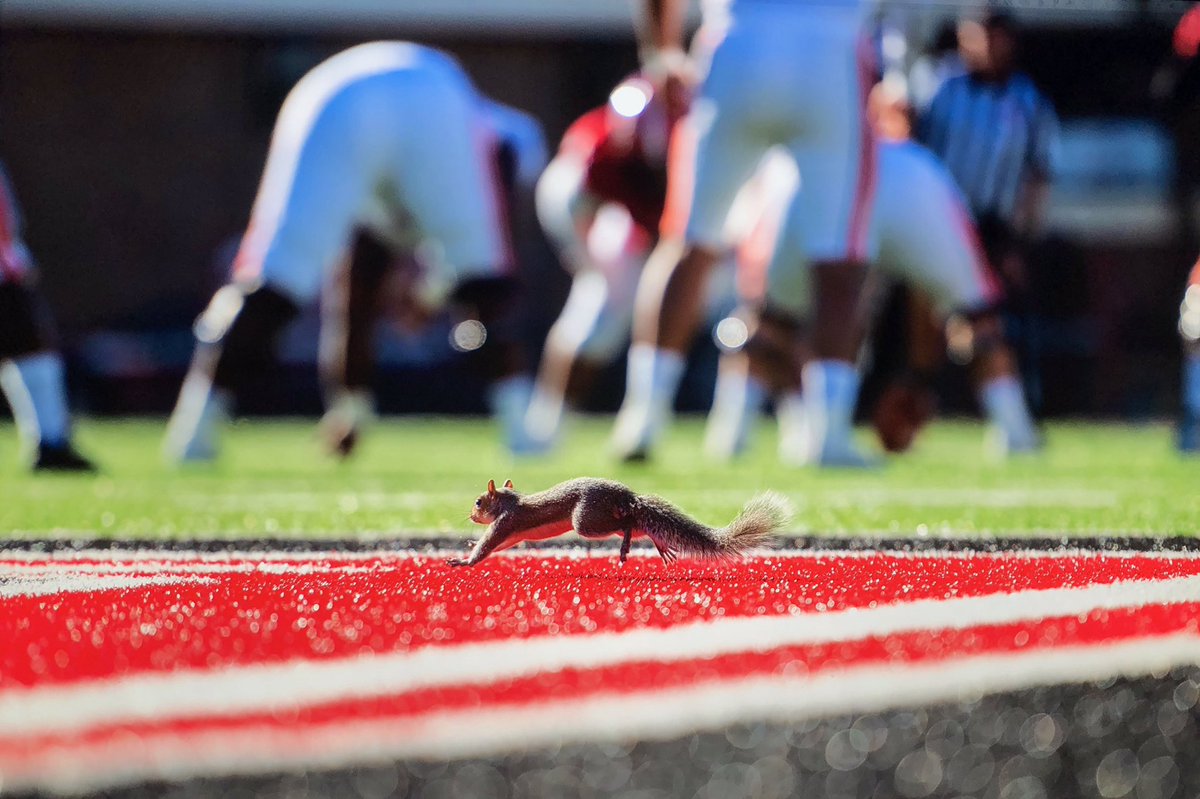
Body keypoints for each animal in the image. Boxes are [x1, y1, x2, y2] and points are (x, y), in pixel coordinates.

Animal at [448, 477, 791, 567]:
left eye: (478, 502)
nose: (472, 515)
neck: (511, 501)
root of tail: (628, 496)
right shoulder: (512, 534)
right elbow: (497, 546)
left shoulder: (504, 524)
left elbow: (487, 546)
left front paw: (464, 561)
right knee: (639, 525)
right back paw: (659, 545)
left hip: (585, 521)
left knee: (623, 526)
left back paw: (624, 547)